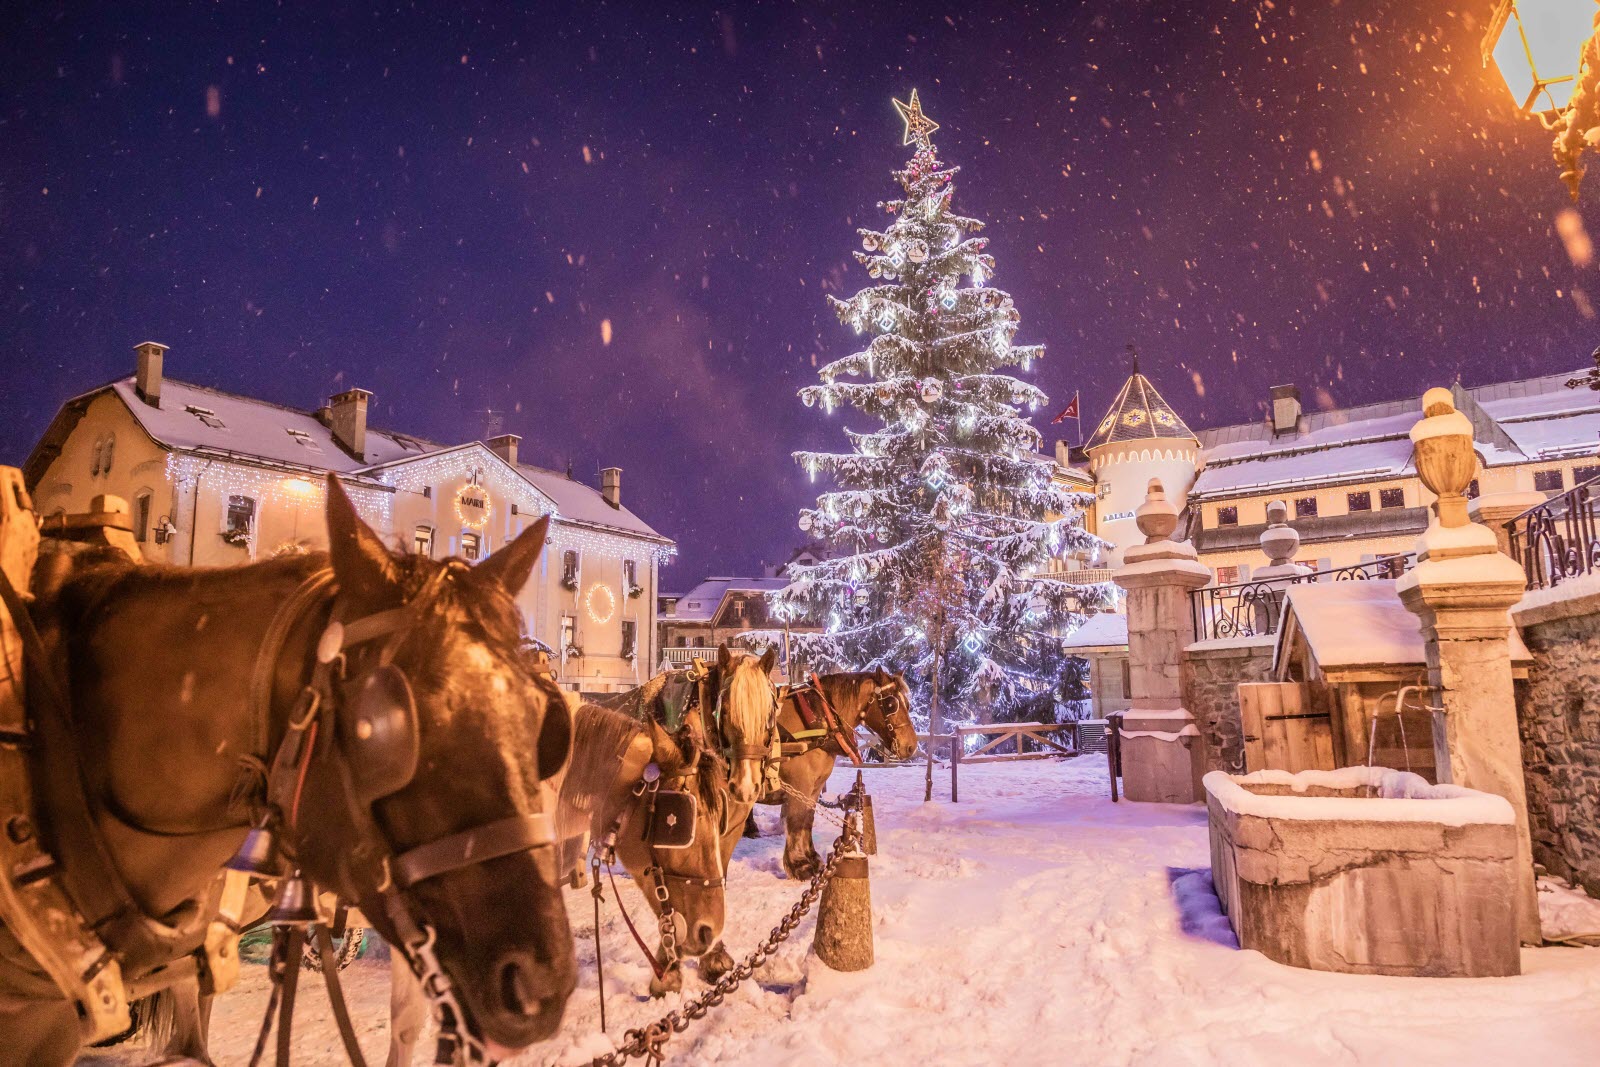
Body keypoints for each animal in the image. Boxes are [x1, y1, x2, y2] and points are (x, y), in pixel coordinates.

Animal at [758, 671, 921, 883]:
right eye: (892, 704)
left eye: (907, 704)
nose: (911, 746)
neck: (820, 718)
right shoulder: (800, 785)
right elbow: (796, 820)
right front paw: (799, 866)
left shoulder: (815, 788)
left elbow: (807, 820)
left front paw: (813, 860)